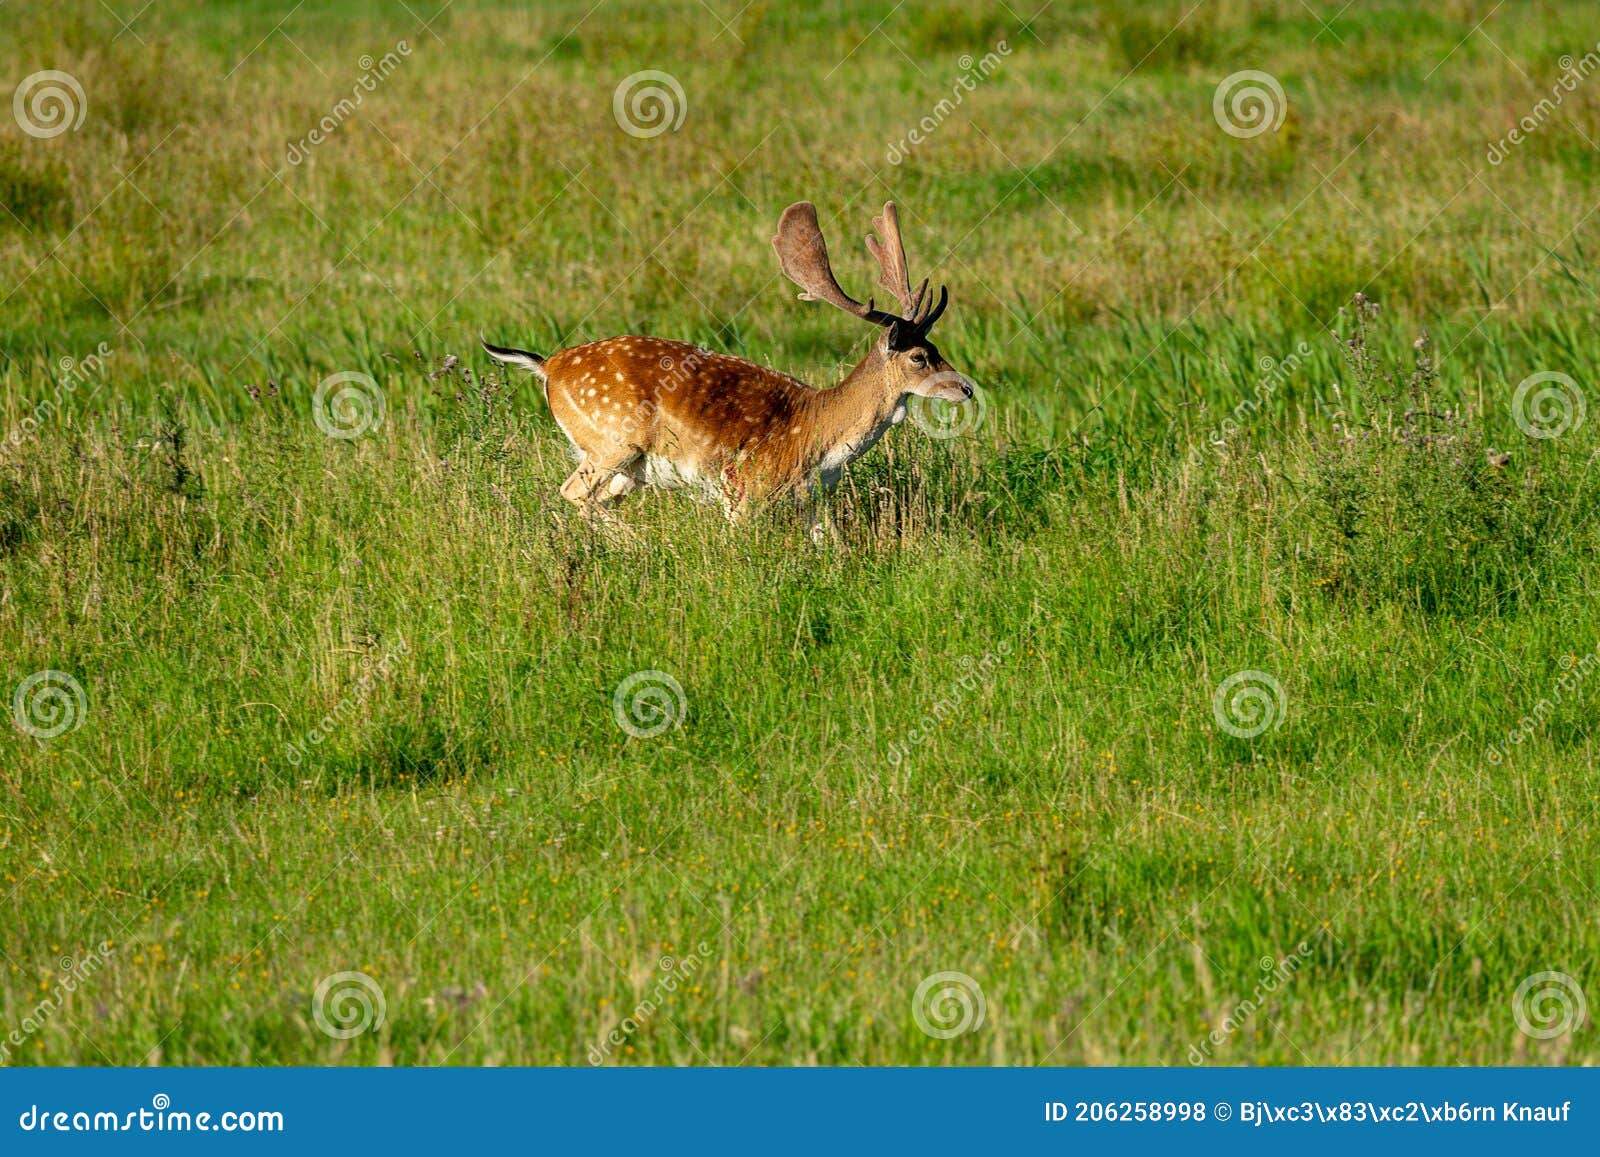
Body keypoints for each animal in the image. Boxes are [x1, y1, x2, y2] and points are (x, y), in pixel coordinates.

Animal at [481, 201, 973, 529]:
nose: (966, 388)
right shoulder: (742, 489)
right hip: (612, 440)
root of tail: (548, 366)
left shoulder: (812, 501)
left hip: (624, 466)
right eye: (919, 356)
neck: (818, 436)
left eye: (936, 345)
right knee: (572, 493)